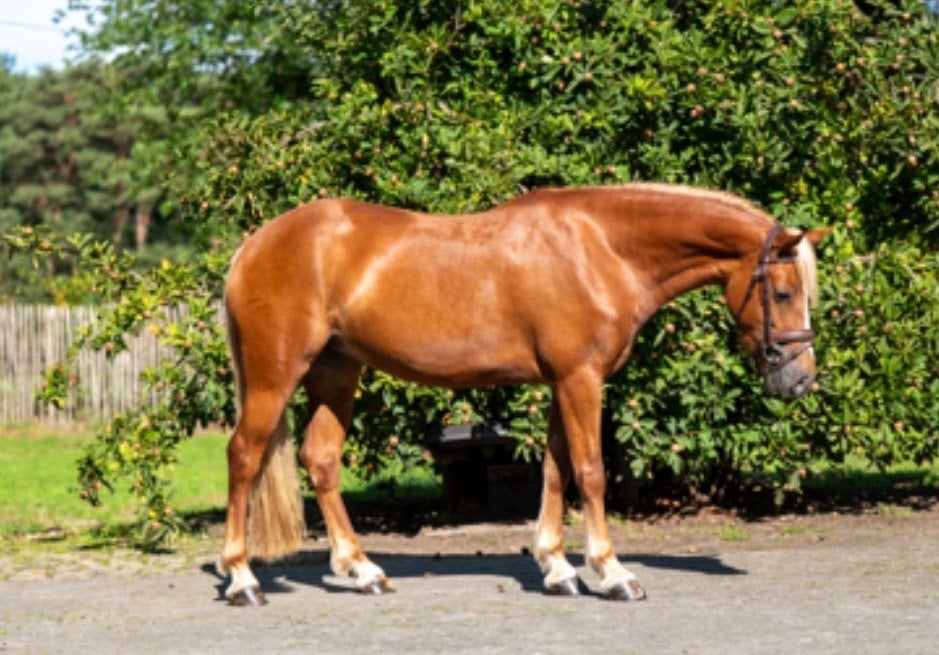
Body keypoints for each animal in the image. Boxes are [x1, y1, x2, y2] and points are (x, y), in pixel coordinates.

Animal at [217, 183, 826, 605]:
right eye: (782, 292)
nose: (799, 380)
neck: (601, 248)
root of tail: (255, 244)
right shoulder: (581, 379)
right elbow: (591, 471)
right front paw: (612, 573)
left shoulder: (561, 382)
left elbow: (557, 470)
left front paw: (557, 568)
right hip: (276, 376)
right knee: (244, 456)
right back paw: (242, 579)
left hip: (336, 374)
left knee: (321, 459)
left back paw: (362, 570)